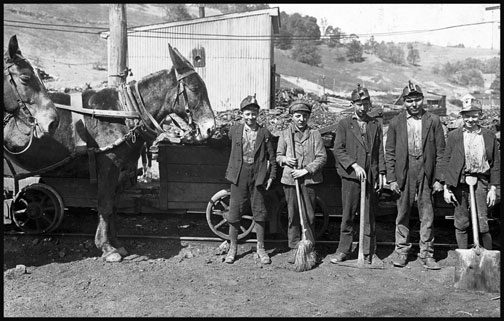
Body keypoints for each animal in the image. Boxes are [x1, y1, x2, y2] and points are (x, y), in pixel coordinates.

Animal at [5, 43, 217, 262]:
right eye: (195, 88)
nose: (210, 128)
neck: (123, 112)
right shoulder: (108, 166)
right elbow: (105, 205)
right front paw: (107, 248)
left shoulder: (122, 170)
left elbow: (114, 207)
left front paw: (116, 243)